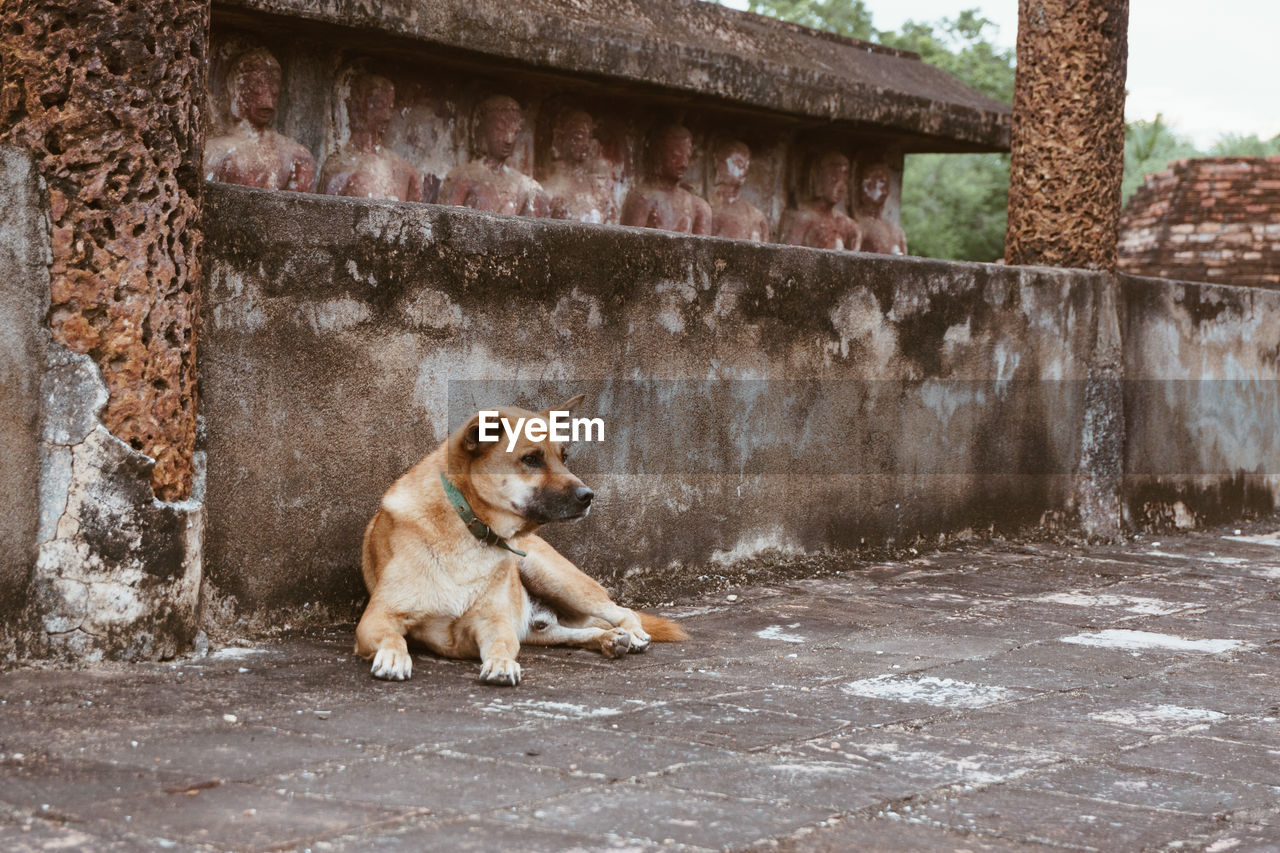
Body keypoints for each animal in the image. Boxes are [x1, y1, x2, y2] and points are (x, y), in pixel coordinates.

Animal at [350, 394, 691, 681]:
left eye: (564, 457)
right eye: (531, 459)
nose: (589, 496)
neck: (467, 524)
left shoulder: (494, 624)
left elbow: (501, 645)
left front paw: (501, 664)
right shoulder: (377, 618)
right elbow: (393, 637)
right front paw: (393, 656)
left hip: (556, 578)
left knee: (621, 612)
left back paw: (631, 634)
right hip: (542, 622)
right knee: (573, 631)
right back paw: (608, 639)